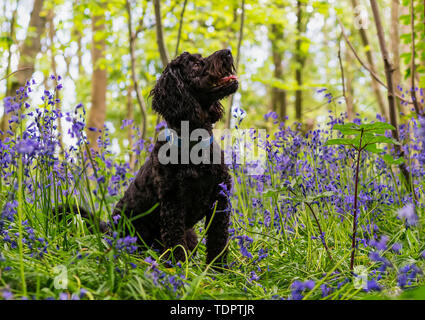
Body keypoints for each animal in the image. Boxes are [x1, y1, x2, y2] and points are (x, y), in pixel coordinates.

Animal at [63, 48, 238, 268]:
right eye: (196, 65)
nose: (228, 52)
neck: (194, 147)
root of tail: (109, 228)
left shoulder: (220, 200)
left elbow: (218, 242)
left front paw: (219, 271)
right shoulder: (173, 204)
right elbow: (176, 244)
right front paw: (179, 270)